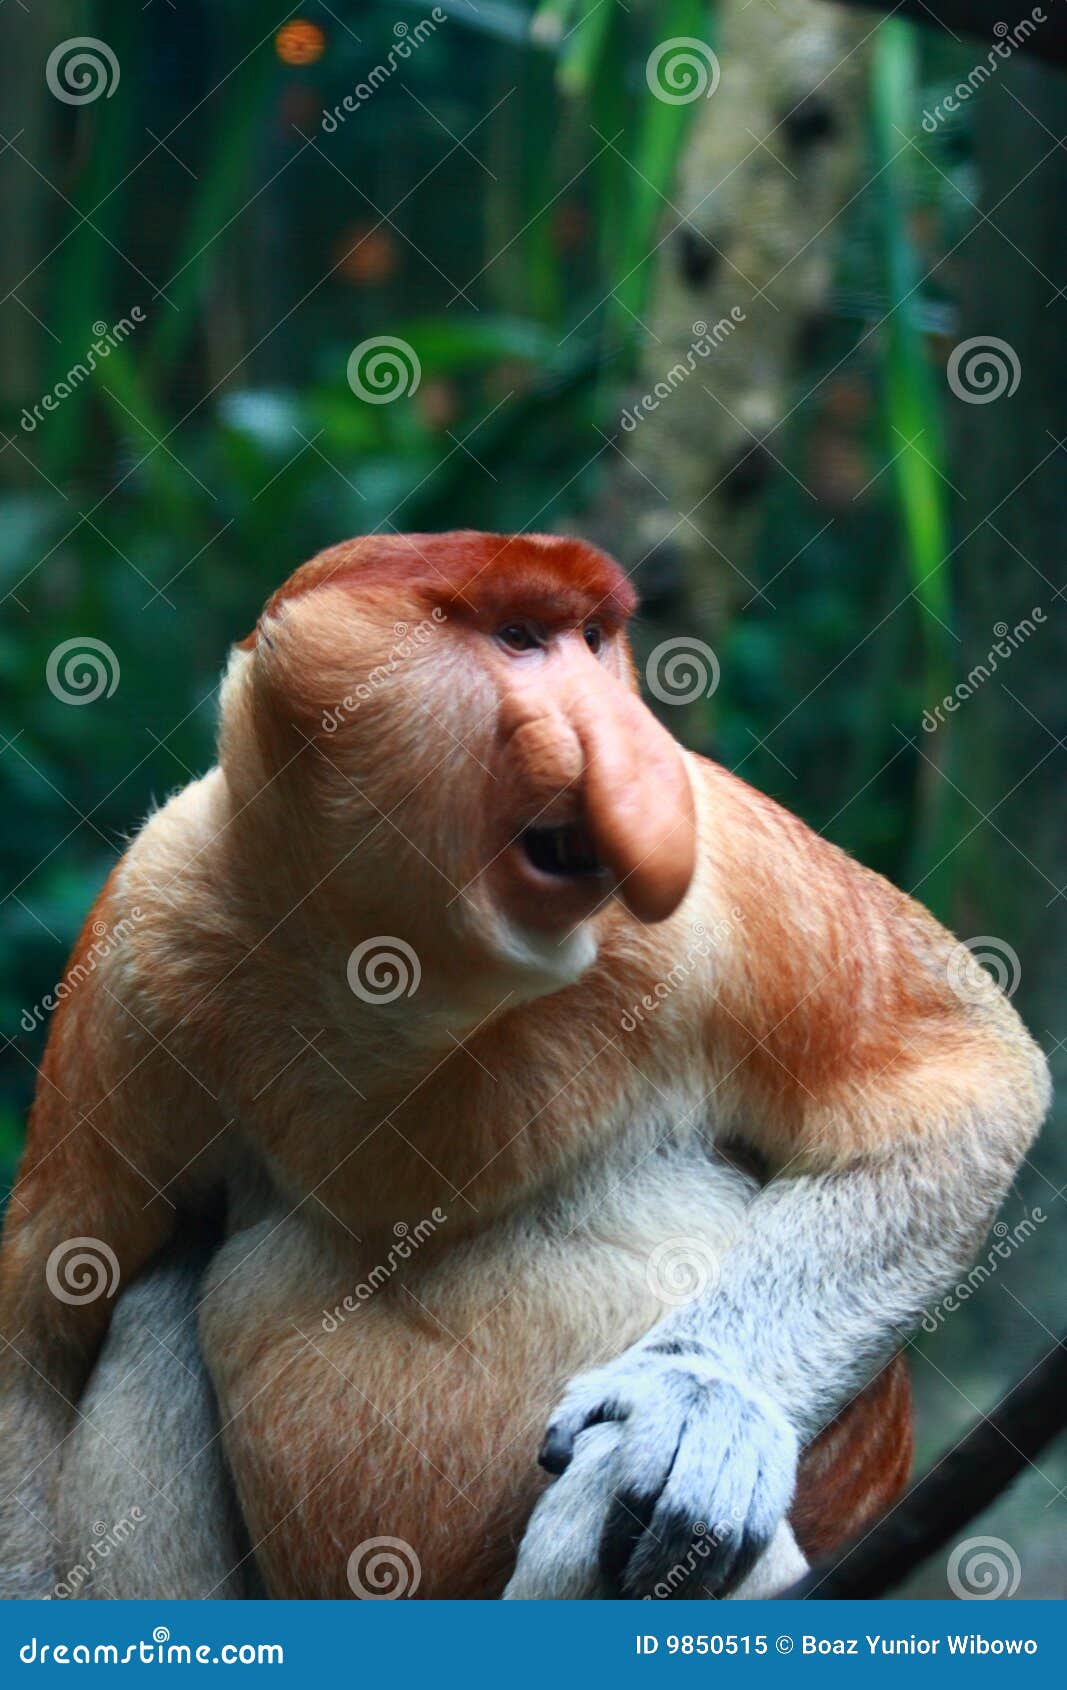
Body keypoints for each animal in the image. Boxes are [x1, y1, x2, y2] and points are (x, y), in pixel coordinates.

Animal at [0, 531, 1049, 1601]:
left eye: (592, 641)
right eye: (517, 638)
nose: (626, 748)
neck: (414, 978)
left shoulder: (720, 856)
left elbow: (955, 1086)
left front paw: (697, 1404)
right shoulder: (147, 920)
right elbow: (40, 1344)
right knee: (151, 1299)